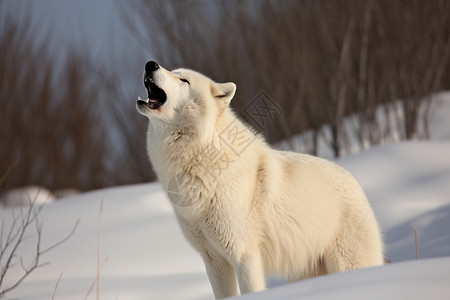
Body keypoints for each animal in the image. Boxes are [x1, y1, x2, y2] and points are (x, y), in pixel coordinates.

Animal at [137, 60, 384, 298]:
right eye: (172, 70)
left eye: (184, 80)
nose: (150, 64)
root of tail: (355, 183)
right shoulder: (213, 260)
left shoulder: (244, 254)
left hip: (348, 262)